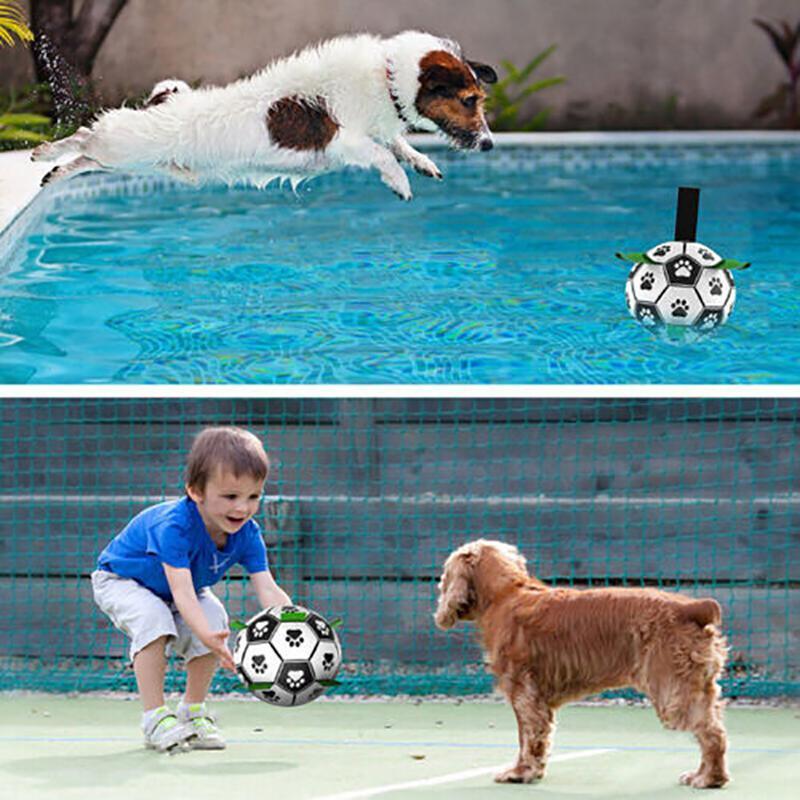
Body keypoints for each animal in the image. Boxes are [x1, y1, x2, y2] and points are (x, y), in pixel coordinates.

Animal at [34, 30, 496, 200]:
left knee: (85, 160)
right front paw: (400, 182)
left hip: (136, 161)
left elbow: (398, 144)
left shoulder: (379, 129)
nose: (490, 144)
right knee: (84, 136)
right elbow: (382, 153)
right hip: (123, 145)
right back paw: (44, 154)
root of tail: (161, 103)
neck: (387, 78)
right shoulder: (345, 140)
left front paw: (422, 162)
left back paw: (53, 173)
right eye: (469, 101)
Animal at [434, 536, 728, 788]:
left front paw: (519, 772)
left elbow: (526, 737)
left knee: (711, 733)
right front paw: (533, 771)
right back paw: (705, 775)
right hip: (698, 686)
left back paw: (709, 779)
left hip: (672, 690)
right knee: (715, 729)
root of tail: (691, 607)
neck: (507, 593)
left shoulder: (523, 693)